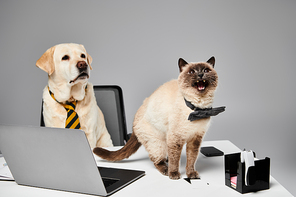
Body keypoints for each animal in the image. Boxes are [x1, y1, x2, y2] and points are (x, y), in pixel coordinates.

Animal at [93, 57, 225, 180]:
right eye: (192, 72)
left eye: (206, 70)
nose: (200, 74)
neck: (198, 108)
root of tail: (134, 121)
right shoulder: (175, 137)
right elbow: (175, 159)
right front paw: (174, 174)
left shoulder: (195, 138)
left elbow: (191, 159)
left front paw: (191, 174)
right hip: (158, 143)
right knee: (157, 160)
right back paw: (166, 169)